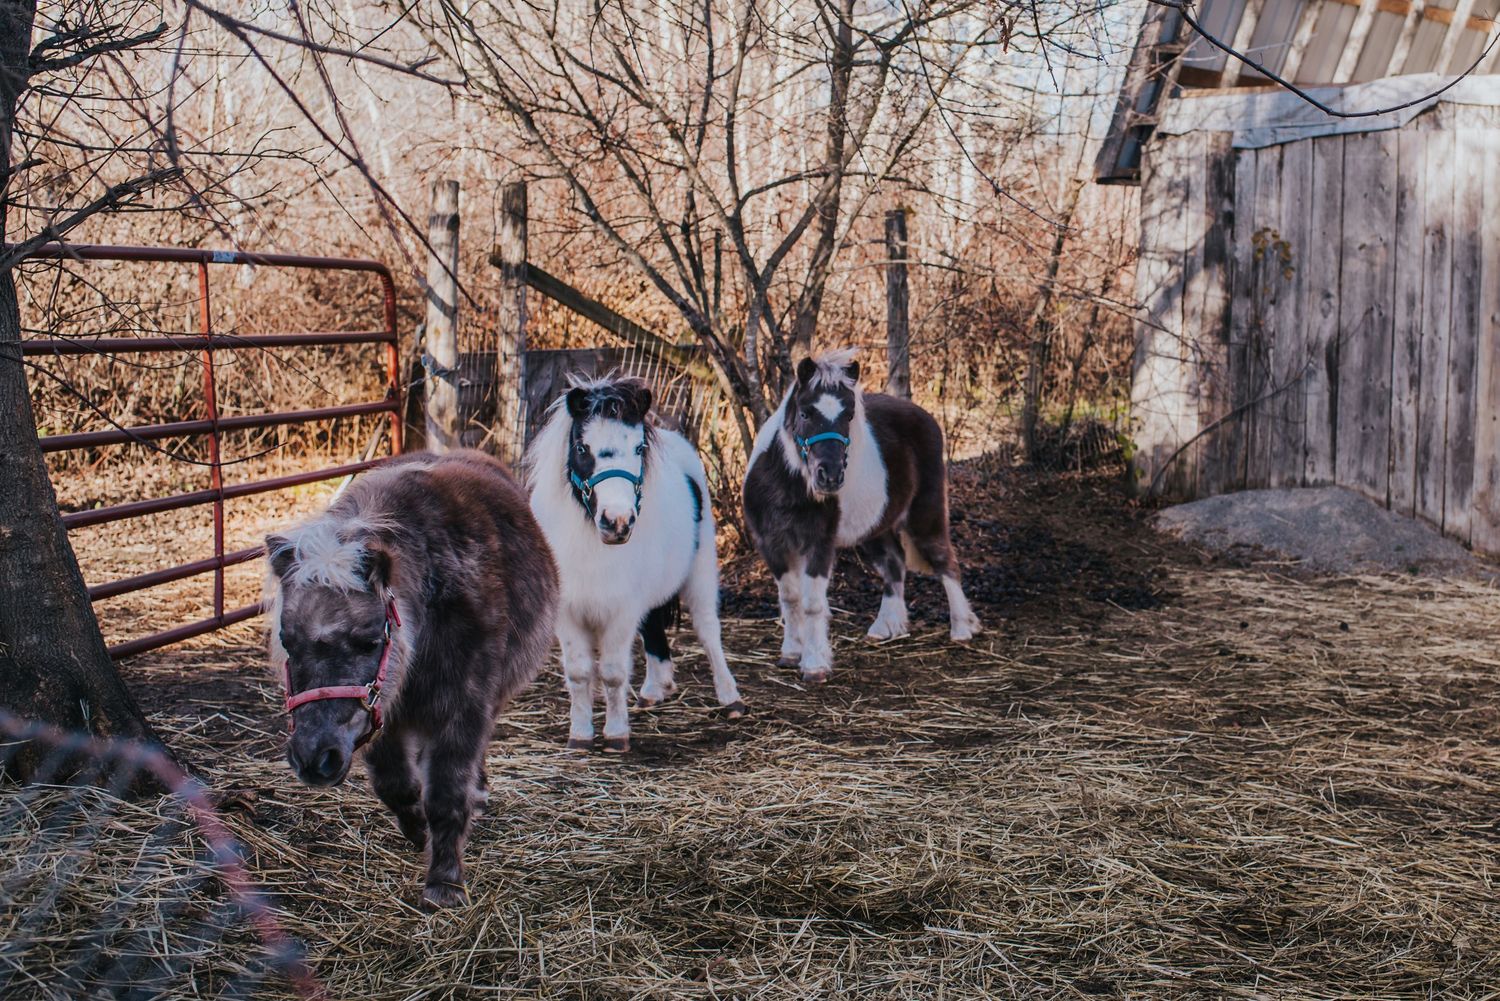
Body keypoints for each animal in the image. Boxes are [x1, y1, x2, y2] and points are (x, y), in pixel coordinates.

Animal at [264, 450, 558, 910]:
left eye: (369, 641)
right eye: (287, 642)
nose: (313, 758)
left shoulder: (462, 707)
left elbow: (447, 794)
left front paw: (444, 882)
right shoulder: (382, 717)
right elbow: (396, 786)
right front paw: (417, 829)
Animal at [524, 374, 746, 754]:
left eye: (639, 449)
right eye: (582, 448)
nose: (617, 522)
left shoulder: (621, 611)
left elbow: (613, 673)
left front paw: (616, 735)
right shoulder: (569, 613)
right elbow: (579, 672)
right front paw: (580, 735)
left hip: (700, 574)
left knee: (708, 630)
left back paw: (730, 698)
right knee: (654, 625)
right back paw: (655, 690)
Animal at [742, 348, 981, 683]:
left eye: (849, 416)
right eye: (805, 413)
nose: (829, 477)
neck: (785, 484)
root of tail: (925, 416)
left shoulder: (819, 544)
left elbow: (812, 603)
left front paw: (814, 664)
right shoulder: (772, 544)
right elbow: (789, 598)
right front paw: (791, 654)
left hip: (925, 514)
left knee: (945, 561)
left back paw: (961, 629)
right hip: (876, 527)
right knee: (894, 564)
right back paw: (885, 628)